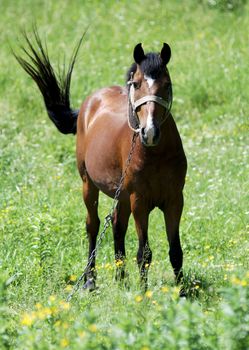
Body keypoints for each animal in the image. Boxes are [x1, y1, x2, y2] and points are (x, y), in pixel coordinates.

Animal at [14, 29, 187, 292]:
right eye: (137, 84)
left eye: (166, 85)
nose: (149, 132)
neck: (155, 154)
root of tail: (90, 102)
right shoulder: (140, 201)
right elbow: (144, 253)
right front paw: (144, 293)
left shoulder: (175, 199)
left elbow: (176, 251)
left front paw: (183, 292)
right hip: (89, 184)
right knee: (93, 225)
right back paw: (90, 280)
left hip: (121, 194)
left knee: (116, 224)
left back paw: (120, 277)